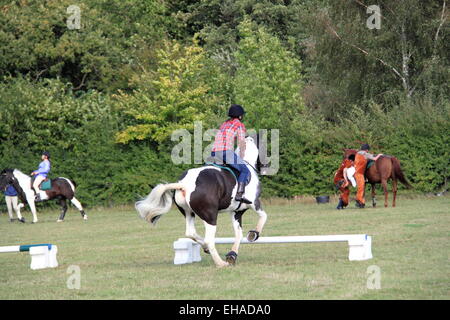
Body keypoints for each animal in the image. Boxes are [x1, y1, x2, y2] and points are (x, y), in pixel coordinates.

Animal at [134, 136, 268, 268]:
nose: (266, 167)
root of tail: (185, 184)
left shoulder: (236, 212)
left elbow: (238, 234)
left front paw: (232, 255)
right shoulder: (253, 204)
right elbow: (263, 216)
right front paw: (254, 234)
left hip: (189, 212)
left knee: (191, 232)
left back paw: (206, 248)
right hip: (210, 216)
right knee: (209, 239)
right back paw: (220, 263)